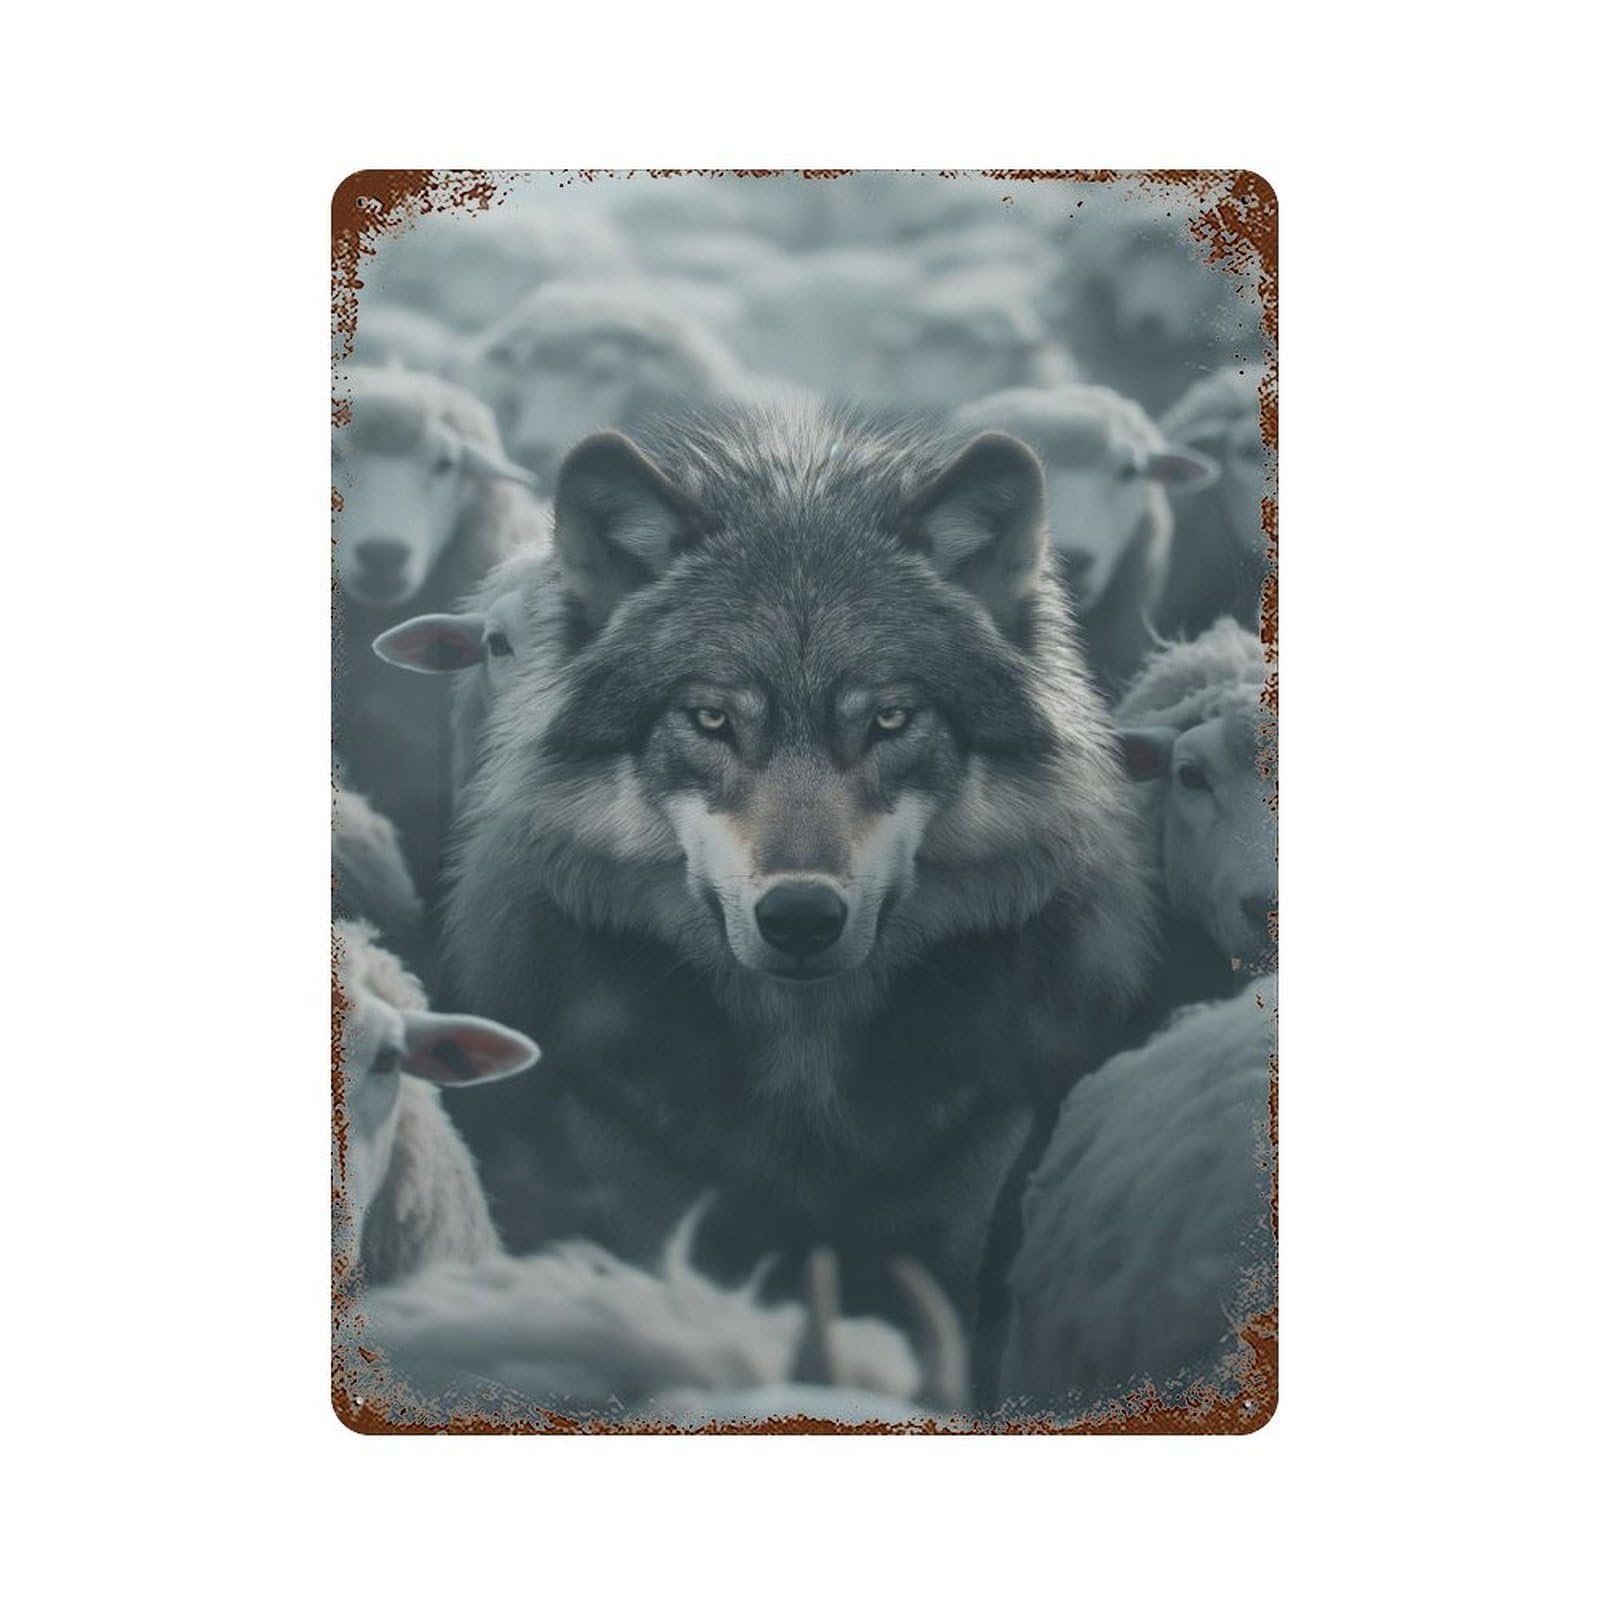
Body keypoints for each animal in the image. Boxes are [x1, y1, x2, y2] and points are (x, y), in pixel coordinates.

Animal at [440, 400, 1157, 1343]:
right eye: (710, 719)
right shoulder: (634, 1166)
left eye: (891, 719)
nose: (802, 918)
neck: (803, 1072)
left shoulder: (968, 1173)